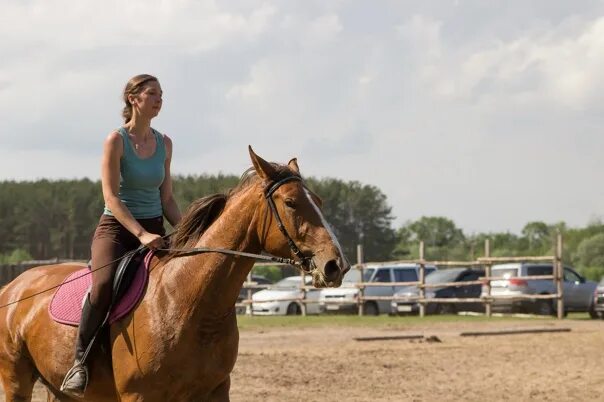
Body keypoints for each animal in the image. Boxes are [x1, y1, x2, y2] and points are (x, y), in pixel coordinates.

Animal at [0, 148, 350, 402]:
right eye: (291, 202)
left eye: (318, 201)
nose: (336, 265)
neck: (189, 301)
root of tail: (14, 287)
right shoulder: (139, 395)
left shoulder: (214, 392)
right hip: (16, 380)